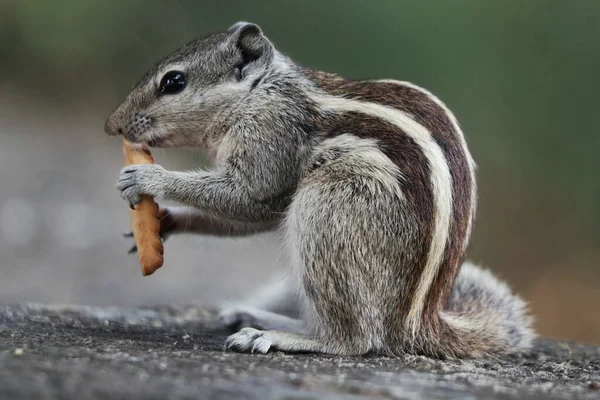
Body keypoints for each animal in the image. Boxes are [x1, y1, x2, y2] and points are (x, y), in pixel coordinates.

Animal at [103, 21, 536, 360]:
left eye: (173, 82)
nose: (112, 125)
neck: (260, 92)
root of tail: (415, 323)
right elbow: (250, 216)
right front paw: (163, 222)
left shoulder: (271, 136)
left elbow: (246, 196)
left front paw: (149, 179)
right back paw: (261, 318)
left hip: (328, 214)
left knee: (356, 341)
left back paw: (276, 337)